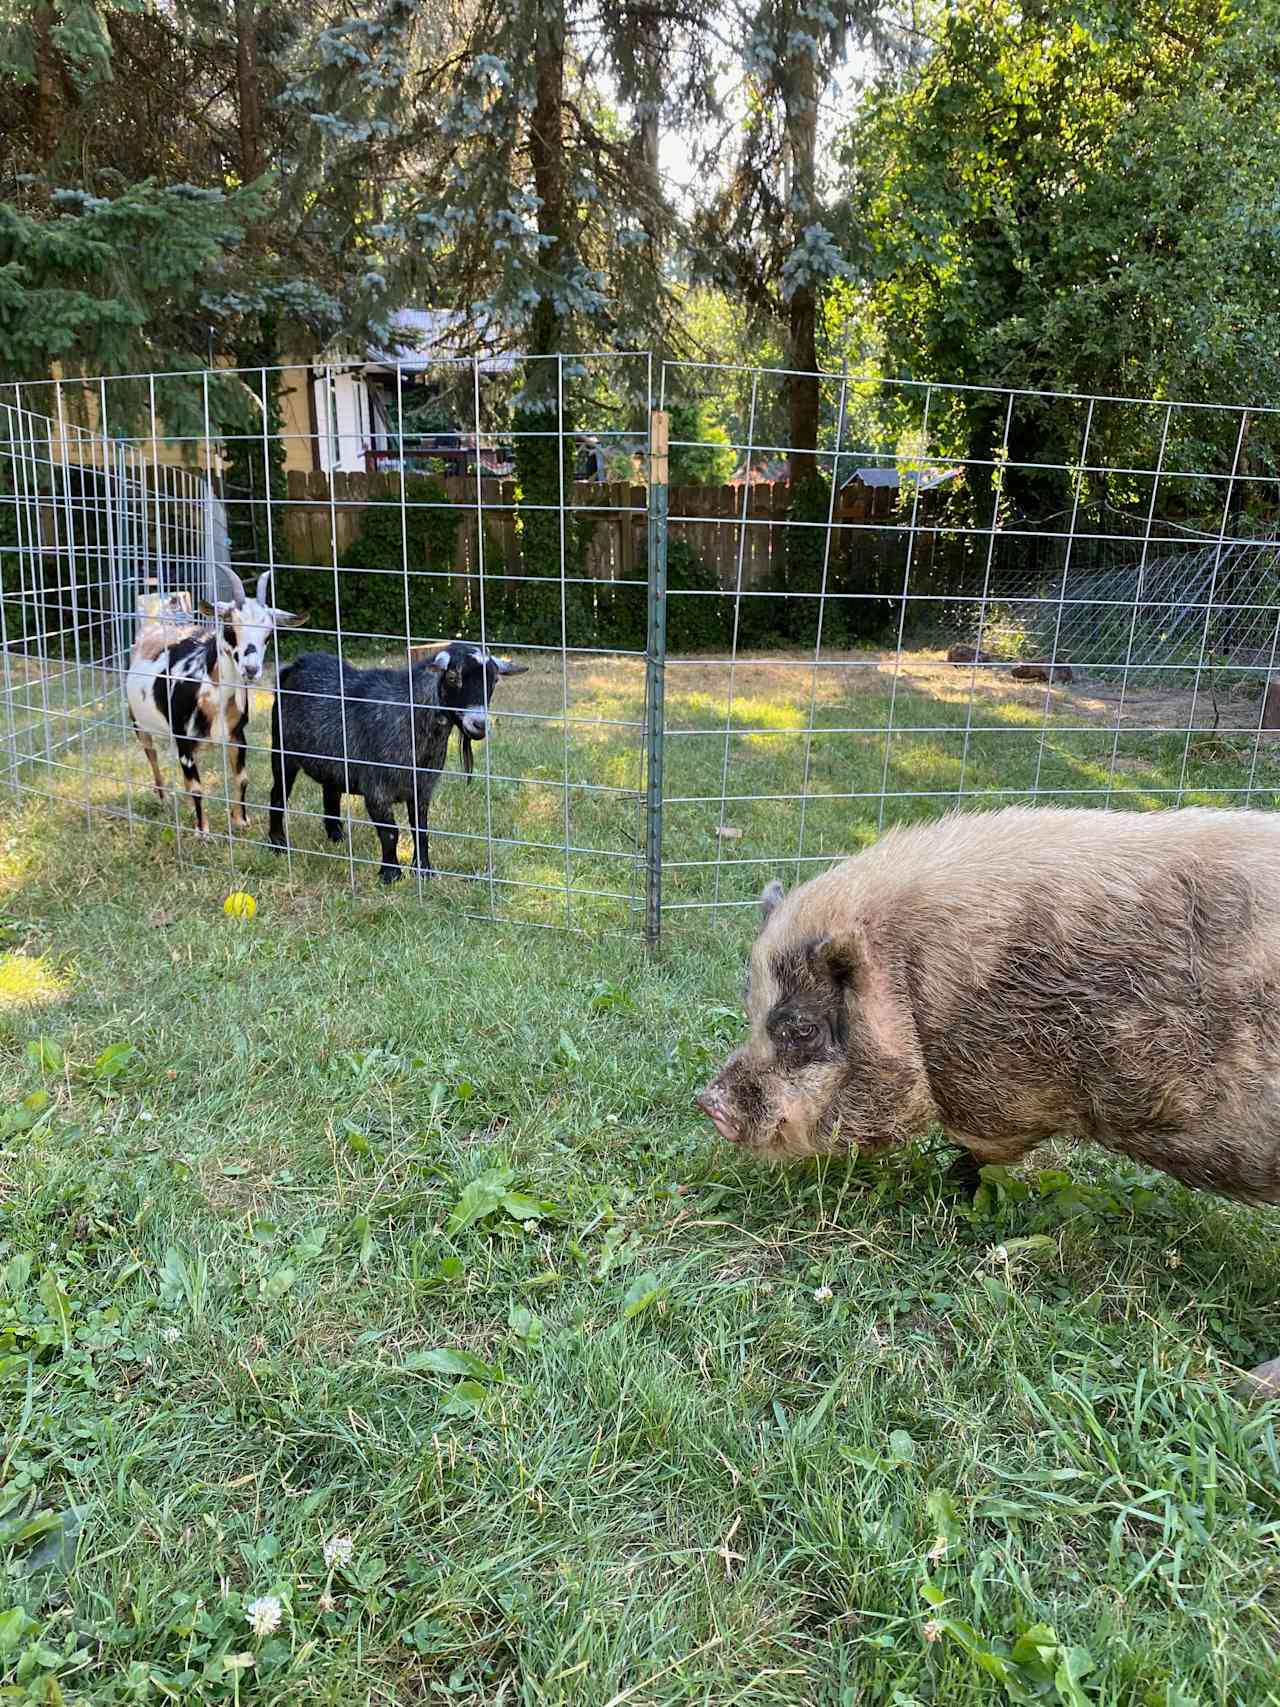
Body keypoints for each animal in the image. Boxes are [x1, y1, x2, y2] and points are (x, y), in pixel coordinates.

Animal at [123, 573, 308, 833]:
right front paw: (202, 830)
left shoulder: (237, 735)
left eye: (268, 634)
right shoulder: (183, 738)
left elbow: (242, 779)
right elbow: (196, 787)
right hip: (137, 721)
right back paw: (164, 798)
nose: (251, 670)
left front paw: (240, 820)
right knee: (152, 755)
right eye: (229, 626)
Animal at [267, 638, 529, 880]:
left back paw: (337, 837)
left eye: (494, 680)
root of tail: (296, 665)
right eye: (453, 677)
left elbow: (421, 829)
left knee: (331, 793)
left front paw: (424, 871)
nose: (479, 724)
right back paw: (277, 843)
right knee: (277, 794)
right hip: (282, 751)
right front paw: (391, 874)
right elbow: (390, 832)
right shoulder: (376, 790)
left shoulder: (422, 788)